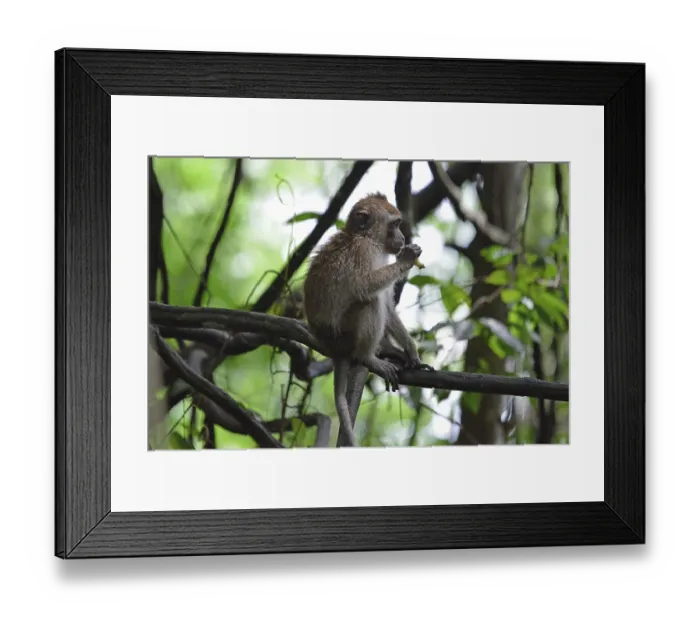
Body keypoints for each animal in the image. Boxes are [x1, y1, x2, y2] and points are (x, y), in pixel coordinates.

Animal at [303, 192, 431, 447]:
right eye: (395, 224)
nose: (403, 237)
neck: (367, 238)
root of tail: (334, 350)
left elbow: (388, 306)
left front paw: (412, 352)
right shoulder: (363, 251)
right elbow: (365, 287)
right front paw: (406, 259)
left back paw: (391, 352)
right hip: (344, 334)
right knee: (370, 302)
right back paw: (368, 358)